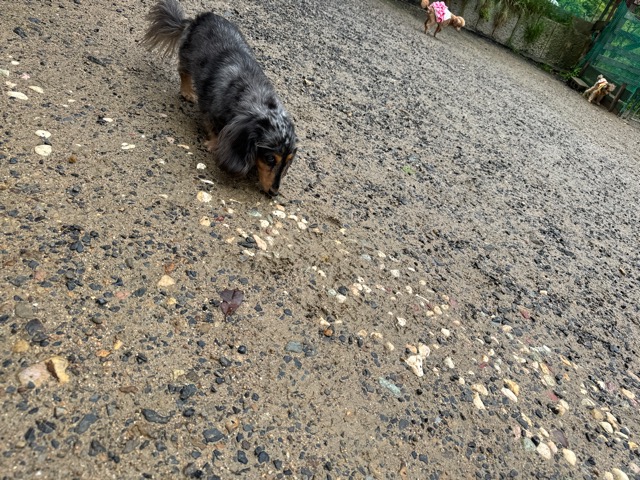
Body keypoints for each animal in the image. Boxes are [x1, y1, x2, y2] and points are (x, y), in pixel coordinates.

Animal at [142, 0, 297, 196]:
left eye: (288, 161)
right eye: (270, 159)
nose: (274, 193)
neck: (252, 93)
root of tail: (199, 18)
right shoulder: (211, 111)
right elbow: (214, 129)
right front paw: (214, 144)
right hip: (188, 57)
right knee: (183, 72)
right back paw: (187, 91)